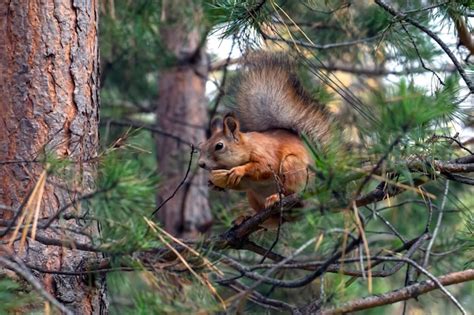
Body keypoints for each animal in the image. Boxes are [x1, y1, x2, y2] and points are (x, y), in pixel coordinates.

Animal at [198, 54, 332, 216]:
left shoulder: (264, 153)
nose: (201, 164)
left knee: (291, 191)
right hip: (252, 196)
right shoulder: (246, 183)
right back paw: (248, 217)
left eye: (219, 146)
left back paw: (276, 197)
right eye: (201, 146)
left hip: (292, 167)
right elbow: (242, 184)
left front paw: (239, 170)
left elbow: (264, 167)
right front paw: (214, 184)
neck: (247, 146)